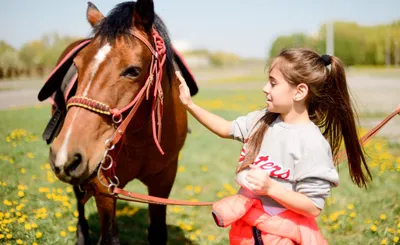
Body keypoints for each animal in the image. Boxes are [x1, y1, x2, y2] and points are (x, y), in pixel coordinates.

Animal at [39, 0, 191, 244]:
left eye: (133, 71)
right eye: (77, 66)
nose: (65, 154)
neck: (141, 137)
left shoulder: (164, 179)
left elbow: (157, 232)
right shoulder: (102, 186)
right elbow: (109, 236)